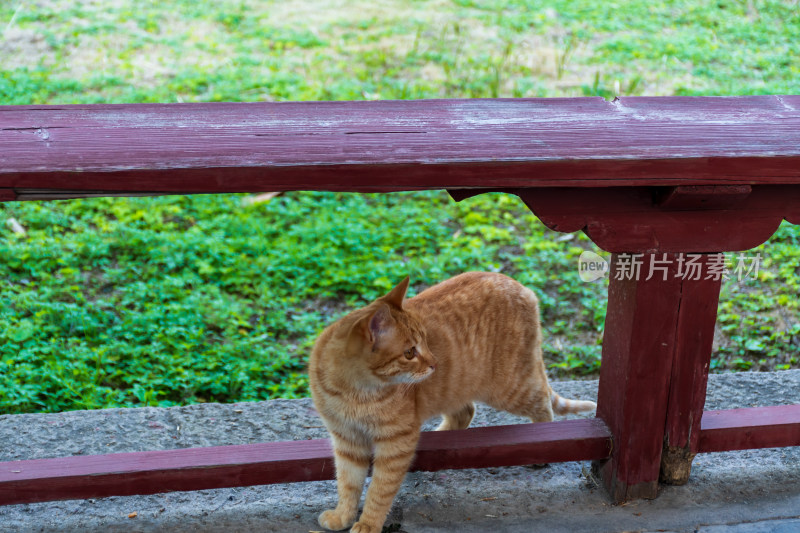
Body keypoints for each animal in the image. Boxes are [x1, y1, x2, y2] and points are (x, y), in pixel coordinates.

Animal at [310, 272, 596, 528]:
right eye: (410, 353)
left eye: (425, 342)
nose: (435, 364)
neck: (352, 392)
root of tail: (522, 287)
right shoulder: (347, 440)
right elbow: (348, 484)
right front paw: (343, 516)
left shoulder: (396, 443)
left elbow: (379, 491)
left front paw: (368, 523)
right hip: (458, 391)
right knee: (466, 412)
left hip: (510, 388)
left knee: (543, 404)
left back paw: (541, 446)